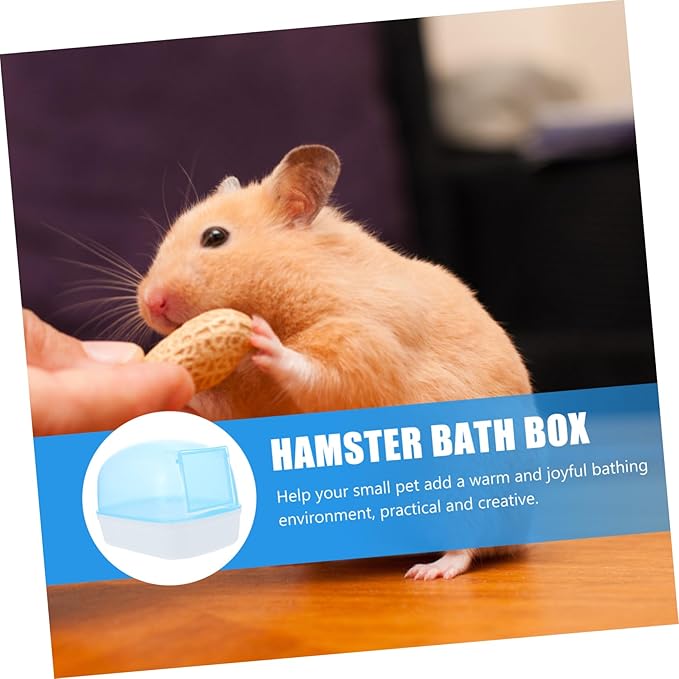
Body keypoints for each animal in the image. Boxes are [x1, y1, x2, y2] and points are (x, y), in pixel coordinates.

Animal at [137, 145, 532, 580]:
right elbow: (218, 404)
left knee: (469, 545)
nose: (150, 302)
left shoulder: (362, 344)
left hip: (464, 491)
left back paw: (427, 571)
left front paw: (265, 342)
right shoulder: (247, 399)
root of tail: (523, 534)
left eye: (215, 237)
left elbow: (315, 372)